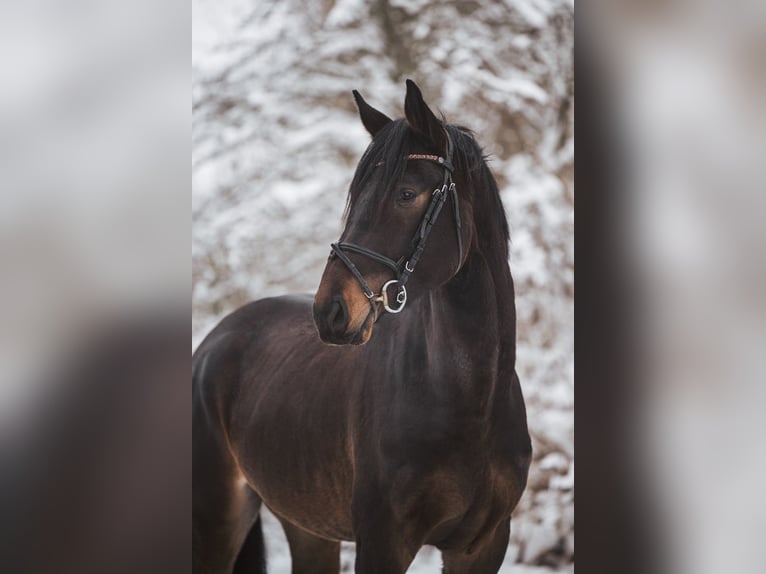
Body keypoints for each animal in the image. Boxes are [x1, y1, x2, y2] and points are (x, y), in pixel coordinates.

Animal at [192, 79, 531, 573]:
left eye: (407, 194)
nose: (331, 311)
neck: (473, 405)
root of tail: (213, 341)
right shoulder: (382, 542)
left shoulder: (482, 546)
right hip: (217, 520)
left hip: (307, 526)